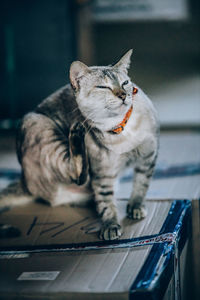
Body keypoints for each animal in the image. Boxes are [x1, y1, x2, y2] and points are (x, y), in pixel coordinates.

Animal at [0, 49, 159, 241]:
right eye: (103, 87)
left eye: (125, 83)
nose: (123, 95)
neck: (121, 129)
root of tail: (24, 179)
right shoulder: (102, 173)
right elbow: (106, 202)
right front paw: (111, 226)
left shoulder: (148, 157)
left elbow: (141, 185)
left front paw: (135, 207)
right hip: (40, 128)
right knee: (77, 173)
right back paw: (76, 133)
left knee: (82, 181)